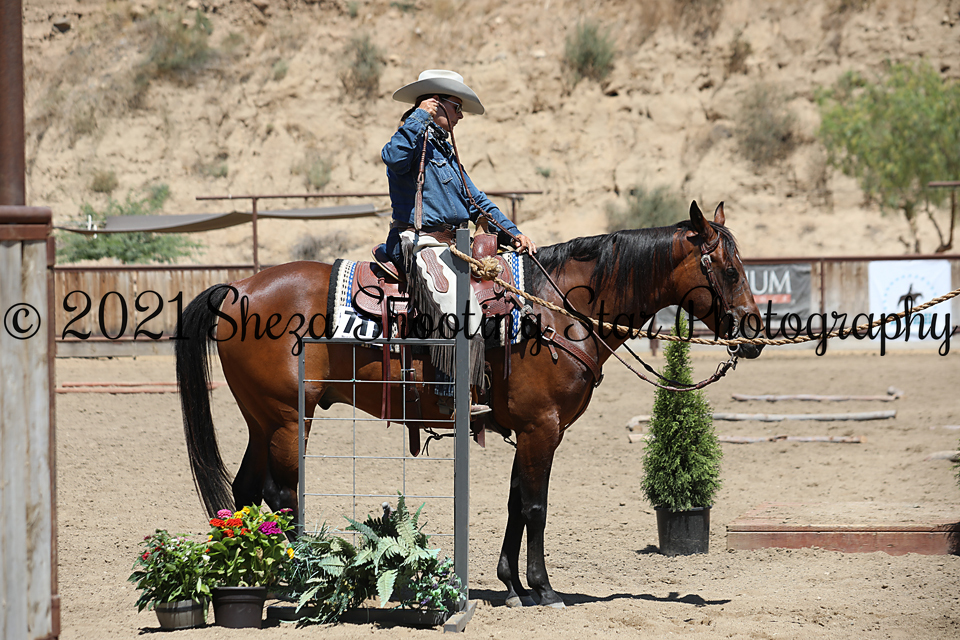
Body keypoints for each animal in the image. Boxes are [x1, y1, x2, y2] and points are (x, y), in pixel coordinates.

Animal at [176, 200, 763, 609]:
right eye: (729, 270)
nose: (756, 334)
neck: (554, 314)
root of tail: (238, 288)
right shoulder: (542, 429)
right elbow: (536, 507)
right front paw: (544, 590)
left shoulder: (529, 432)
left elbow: (515, 503)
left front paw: (512, 585)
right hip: (286, 419)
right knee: (280, 494)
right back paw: (296, 579)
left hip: (262, 420)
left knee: (246, 492)